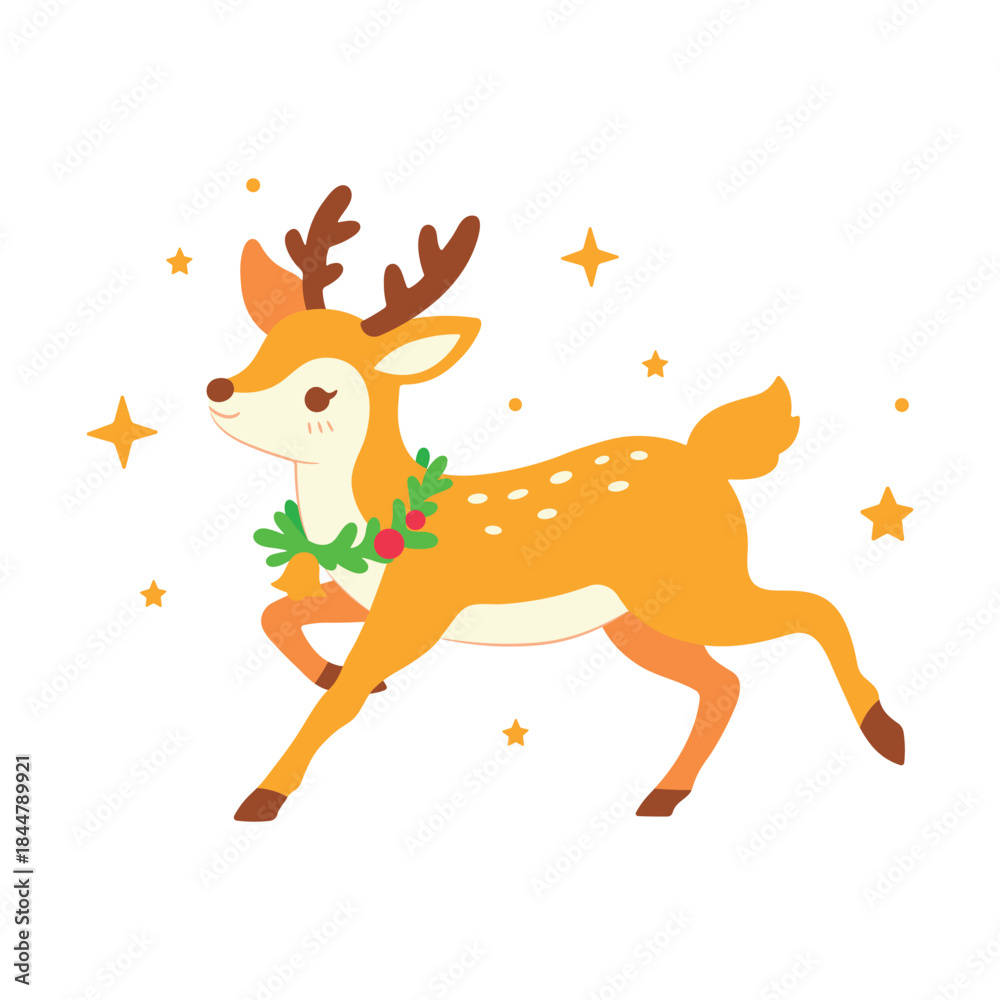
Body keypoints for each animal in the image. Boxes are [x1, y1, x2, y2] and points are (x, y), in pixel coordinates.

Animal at [207, 185, 905, 823]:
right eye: (263, 346)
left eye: (319, 393)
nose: (219, 388)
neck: (377, 514)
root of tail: (705, 458)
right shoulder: (369, 598)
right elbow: (278, 616)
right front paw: (327, 670)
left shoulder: (417, 609)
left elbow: (338, 703)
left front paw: (263, 796)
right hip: (638, 619)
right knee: (725, 680)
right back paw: (665, 796)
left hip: (696, 589)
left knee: (813, 608)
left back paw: (885, 732)